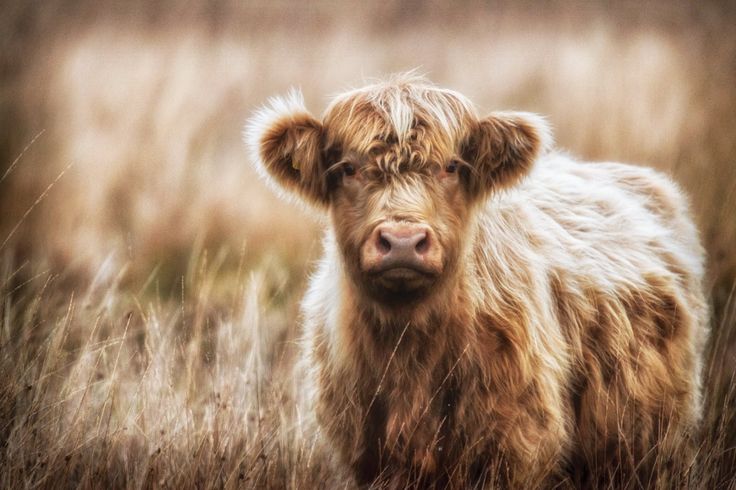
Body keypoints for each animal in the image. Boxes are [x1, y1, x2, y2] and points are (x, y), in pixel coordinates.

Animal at [246, 74, 708, 488]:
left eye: (451, 167)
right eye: (347, 169)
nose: (401, 241)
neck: (410, 351)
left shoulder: (515, 446)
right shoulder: (367, 456)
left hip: (650, 444)